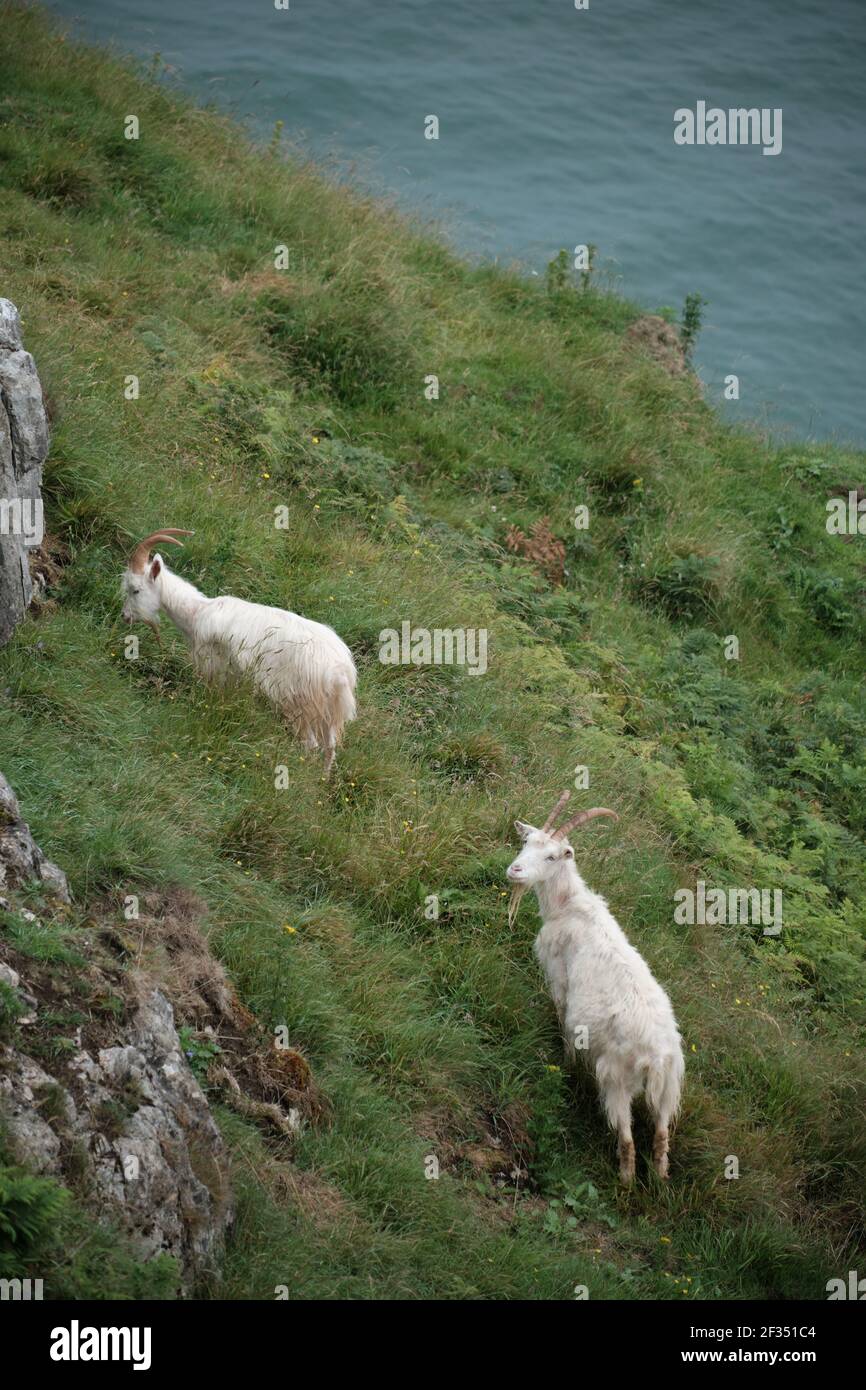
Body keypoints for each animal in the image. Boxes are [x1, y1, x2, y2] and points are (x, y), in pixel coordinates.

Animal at [120, 528, 358, 778]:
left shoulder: (213, 667)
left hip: (297, 703)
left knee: (311, 745)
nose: (124, 616)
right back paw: (322, 779)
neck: (197, 612)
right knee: (330, 747)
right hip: (327, 711)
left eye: (135, 589)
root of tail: (339, 671)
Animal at [508, 795, 683, 1184]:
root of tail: (657, 1057)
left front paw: (565, 1063)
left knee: (628, 1141)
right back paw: (659, 1182)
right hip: (669, 1089)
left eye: (552, 856)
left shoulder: (559, 977)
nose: (515, 870)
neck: (569, 906)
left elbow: (563, 1017)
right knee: (661, 1137)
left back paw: (625, 1183)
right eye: (526, 842)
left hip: (617, 1077)